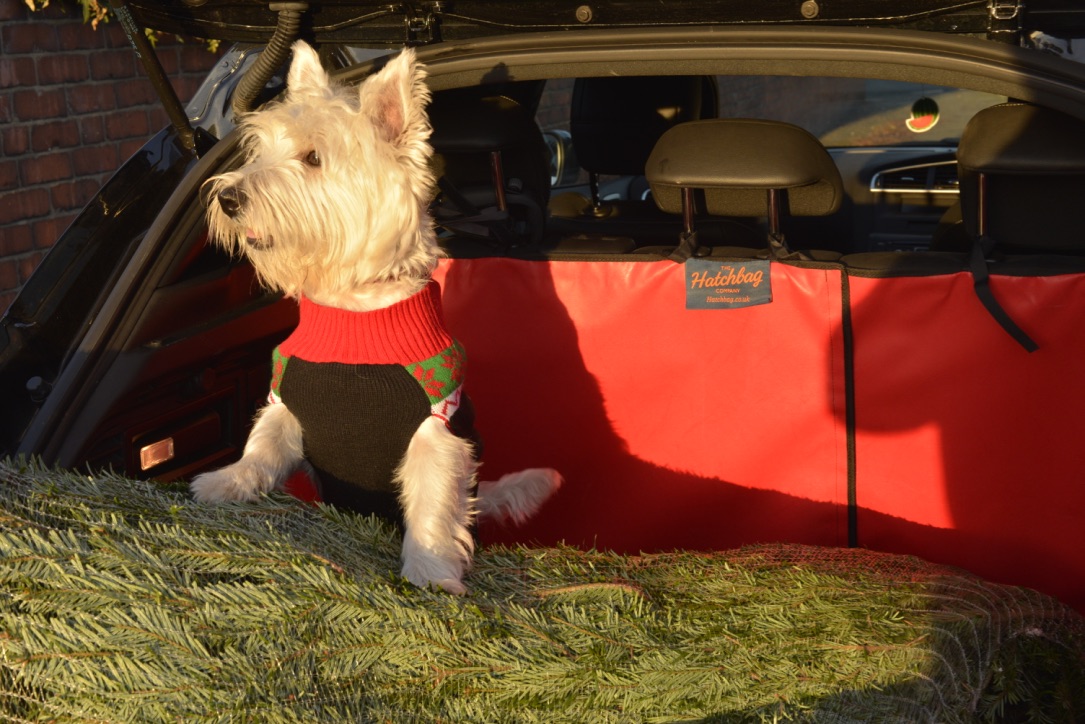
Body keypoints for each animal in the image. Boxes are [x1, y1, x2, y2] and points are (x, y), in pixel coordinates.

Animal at [190, 40, 559, 594]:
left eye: (313, 158)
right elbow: (261, 447)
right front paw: (226, 481)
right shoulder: (284, 400)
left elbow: (432, 506)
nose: (228, 198)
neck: (355, 316)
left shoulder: (435, 428)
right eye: (262, 150)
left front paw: (430, 570)